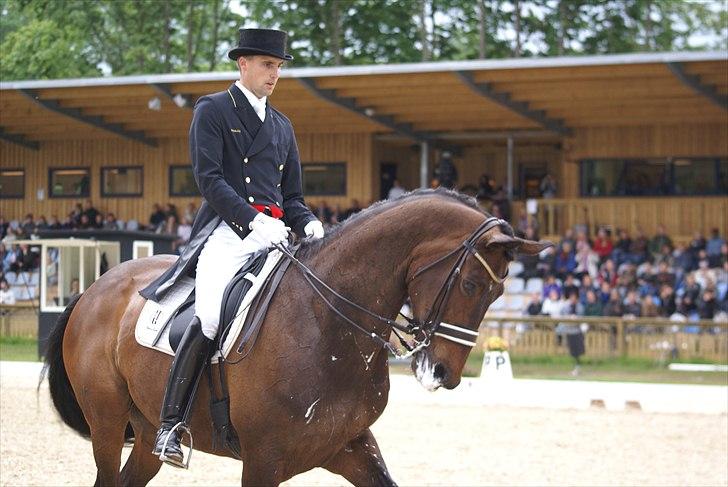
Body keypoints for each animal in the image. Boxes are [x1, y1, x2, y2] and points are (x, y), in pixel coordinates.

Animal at [44, 189, 544, 486]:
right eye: (471, 285)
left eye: (500, 292)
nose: (442, 373)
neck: (328, 324)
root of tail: (93, 288)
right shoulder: (263, 460)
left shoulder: (350, 445)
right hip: (108, 422)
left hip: (146, 430)